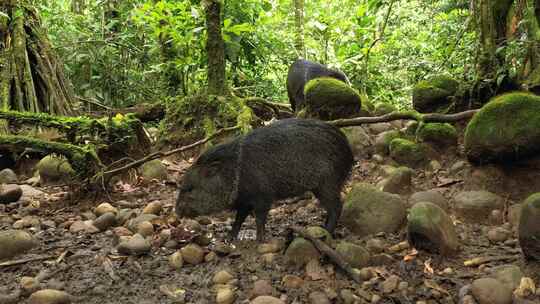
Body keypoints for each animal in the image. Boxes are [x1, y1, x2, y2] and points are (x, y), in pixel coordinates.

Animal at [177, 117, 354, 241]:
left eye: (190, 188)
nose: (176, 212)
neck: (234, 172)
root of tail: (348, 150)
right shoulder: (244, 200)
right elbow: (239, 219)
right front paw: (229, 238)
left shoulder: (262, 196)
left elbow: (259, 218)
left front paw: (260, 240)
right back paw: (321, 228)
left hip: (327, 183)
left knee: (337, 207)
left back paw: (326, 232)